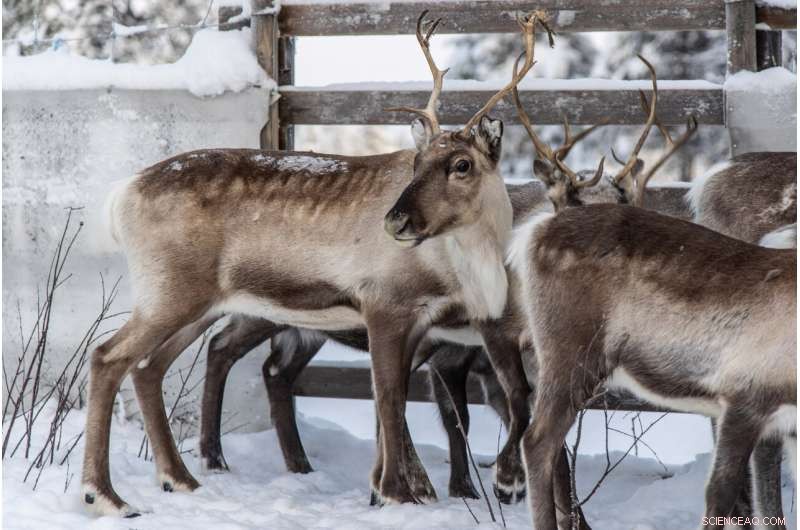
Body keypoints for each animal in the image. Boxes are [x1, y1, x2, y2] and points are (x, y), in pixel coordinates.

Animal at [80, 10, 542, 516]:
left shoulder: (424, 323)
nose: (395, 220)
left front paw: (389, 489)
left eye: (462, 164)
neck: (466, 262)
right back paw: (106, 495)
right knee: (107, 357)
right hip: (168, 293)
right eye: (417, 163)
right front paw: (396, 492)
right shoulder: (385, 305)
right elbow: (390, 398)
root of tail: (122, 194)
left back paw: (178, 479)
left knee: (148, 367)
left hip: (196, 304)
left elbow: (399, 400)